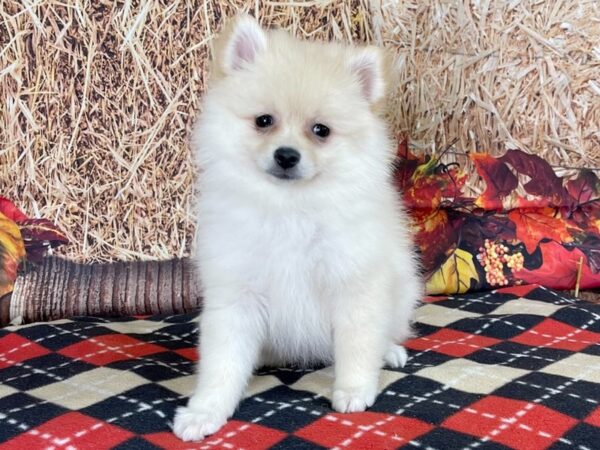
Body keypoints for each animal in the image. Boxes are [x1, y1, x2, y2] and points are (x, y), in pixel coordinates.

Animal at [171, 14, 420, 442]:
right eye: (264, 121)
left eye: (321, 130)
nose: (286, 155)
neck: (289, 207)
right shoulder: (236, 292)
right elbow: (222, 362)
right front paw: (205, 411)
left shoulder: (353, 283)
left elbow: (357, 343)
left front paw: (354, 390)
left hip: (402, 290)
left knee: (387, 329)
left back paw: (389, 350)